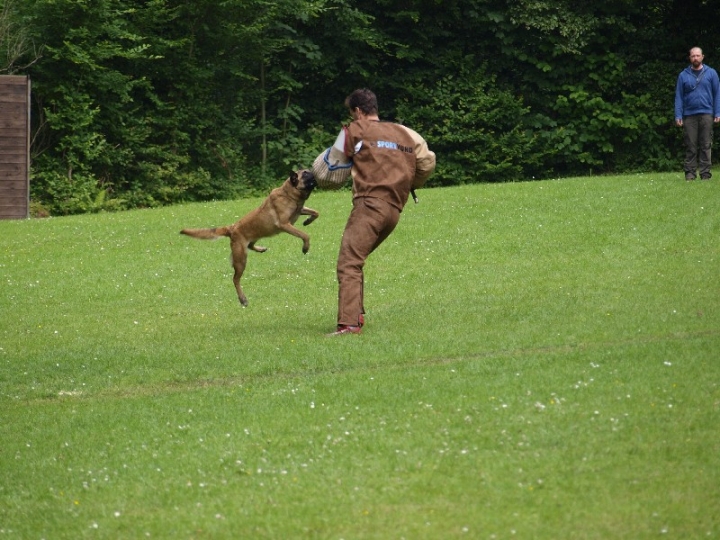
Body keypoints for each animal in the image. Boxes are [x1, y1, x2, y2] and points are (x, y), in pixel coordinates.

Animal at [180, 171, 318, 306]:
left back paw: (260, 249)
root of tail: (231, 228)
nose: (313, 172)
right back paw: (243, 299)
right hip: (241, 259)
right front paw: (305, 248)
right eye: (305, 174)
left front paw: (307, 221)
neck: (289, 193)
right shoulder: (284, 224)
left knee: (251, 246)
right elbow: (305, 235)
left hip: (255, 237)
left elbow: (316, 212)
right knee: (235, 279)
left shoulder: (300, 211)